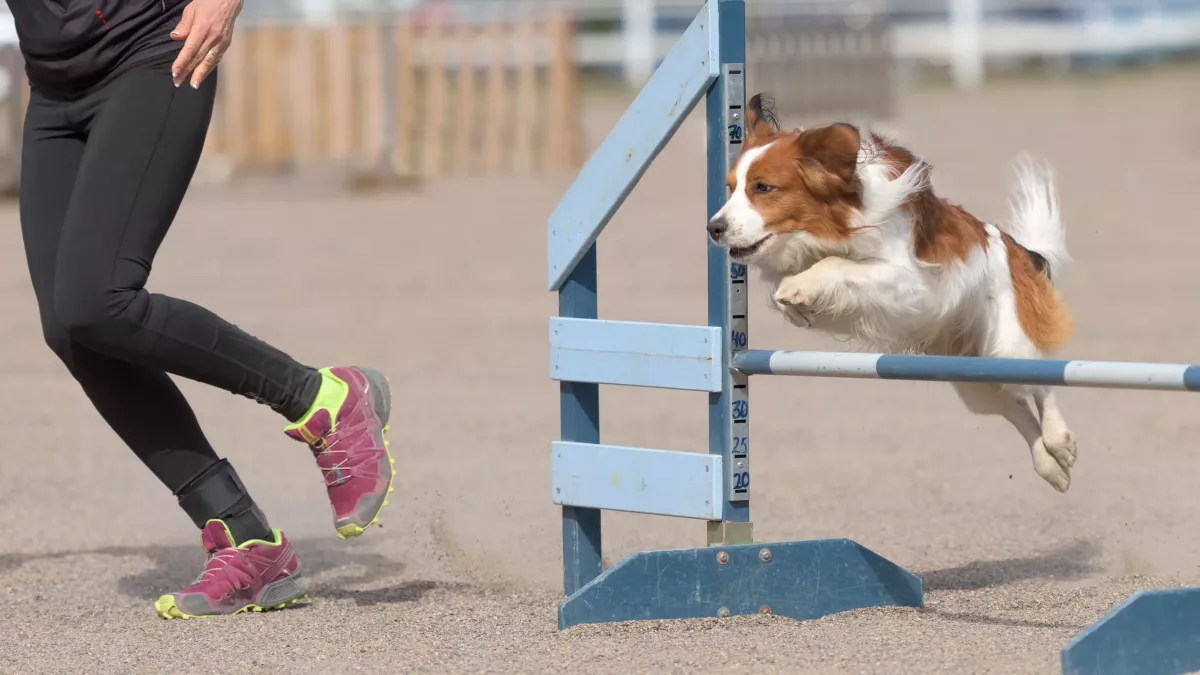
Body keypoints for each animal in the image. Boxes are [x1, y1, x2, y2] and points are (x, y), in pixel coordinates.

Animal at [705, 94, 1084, 492]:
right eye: (731, 188)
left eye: (763, 188)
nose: (714, 227)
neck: (831, 227)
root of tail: (1020, 251)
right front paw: (795, 302)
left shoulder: (909, 280)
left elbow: (837, 265)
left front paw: (799, 287)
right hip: (972, 374)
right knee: (1017, 408)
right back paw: (1050, 463)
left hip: (1006, 345)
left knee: (1040, 382)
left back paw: (1059, 439)